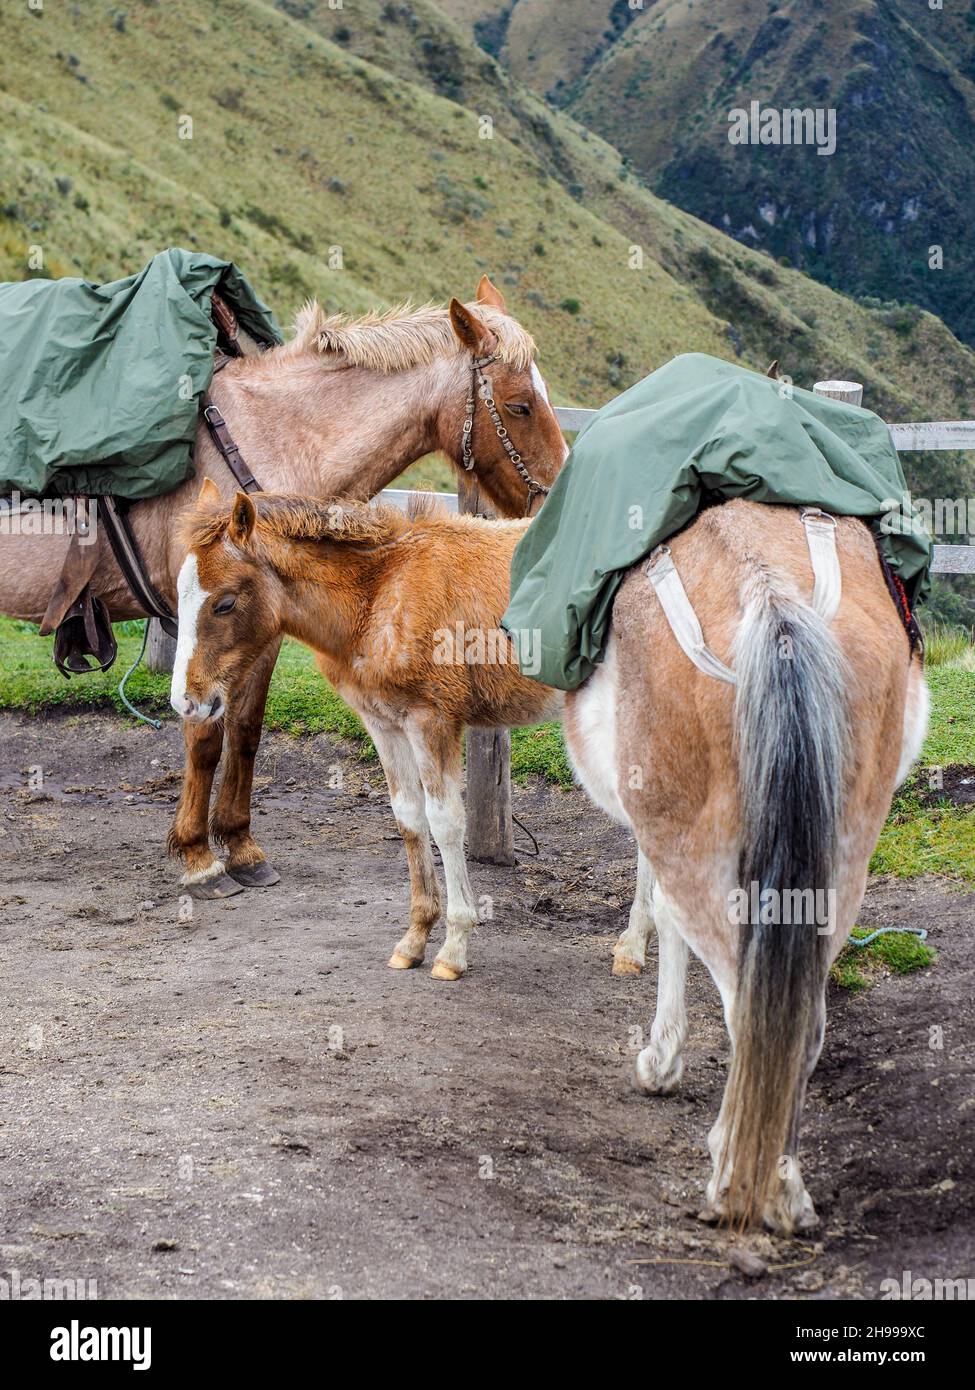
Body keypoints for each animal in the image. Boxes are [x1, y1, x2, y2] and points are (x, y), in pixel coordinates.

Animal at [0, 276, 567, 898]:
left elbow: (245, 731)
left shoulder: (261, 628)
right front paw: (199, 857)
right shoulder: (202, 620)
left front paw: (241, 847)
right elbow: (205, 733)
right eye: (519, 404)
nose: (558, 503)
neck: (270, 435)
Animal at [172, 484, 928, 1234]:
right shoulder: (382, 722)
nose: (188, 701)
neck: (384, 587)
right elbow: (408, 822)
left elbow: (445, 824)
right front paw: (414, 937)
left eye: (225, 601)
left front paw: (454, 945)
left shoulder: (432, 721)